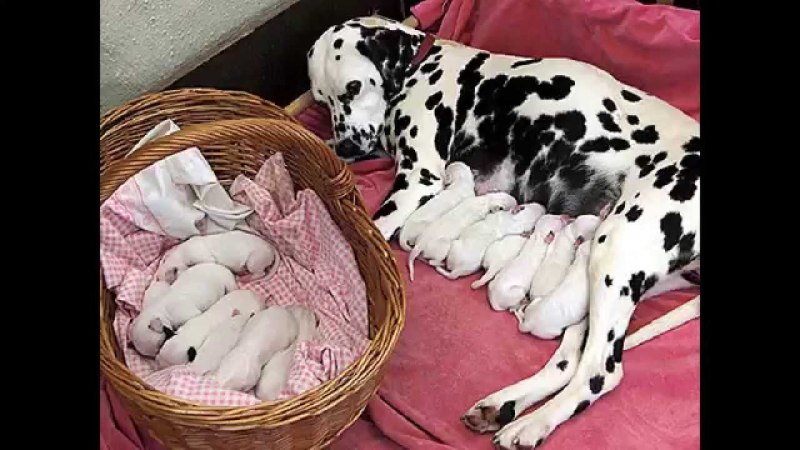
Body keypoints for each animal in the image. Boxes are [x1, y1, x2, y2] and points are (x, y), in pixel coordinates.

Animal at [308, 16, 700, 448]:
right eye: (321, 99)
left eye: (353, 87)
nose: (347, 146)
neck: (421, 65)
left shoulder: (416, 180)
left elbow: (368, 238)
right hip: (604, 283)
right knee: (570, 363)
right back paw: (505, 405)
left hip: (614, 255)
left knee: (599, 373)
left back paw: (532, 423)